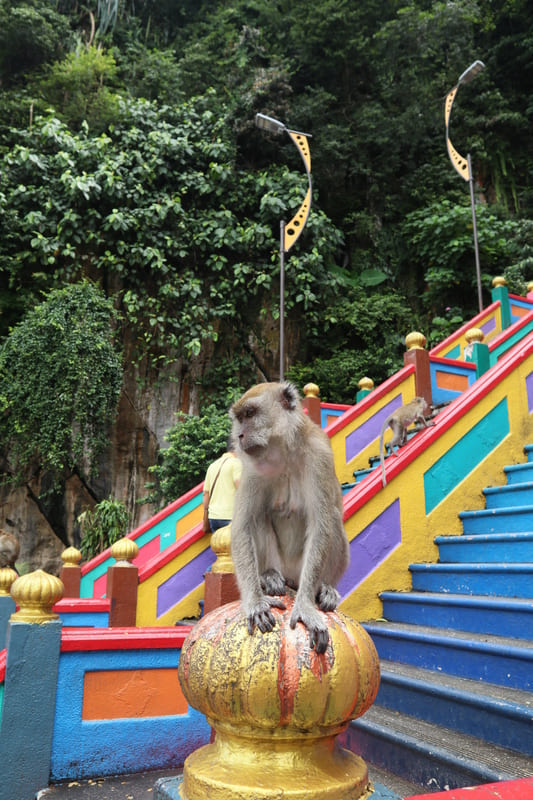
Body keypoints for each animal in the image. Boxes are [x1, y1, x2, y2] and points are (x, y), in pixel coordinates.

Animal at [230, 382, 350, 656]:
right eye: (239, 419)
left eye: (250, 414)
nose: (239, 435)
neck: (282, 453)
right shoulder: (252, 469)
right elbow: (242, 526)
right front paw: (254, 601)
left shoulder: (319, 457)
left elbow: (320, 526)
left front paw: (305, 606)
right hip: (281, 564)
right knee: (257, 517)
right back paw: (269, 576)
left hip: (299, 569)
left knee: (333, 518)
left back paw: (326, 587)